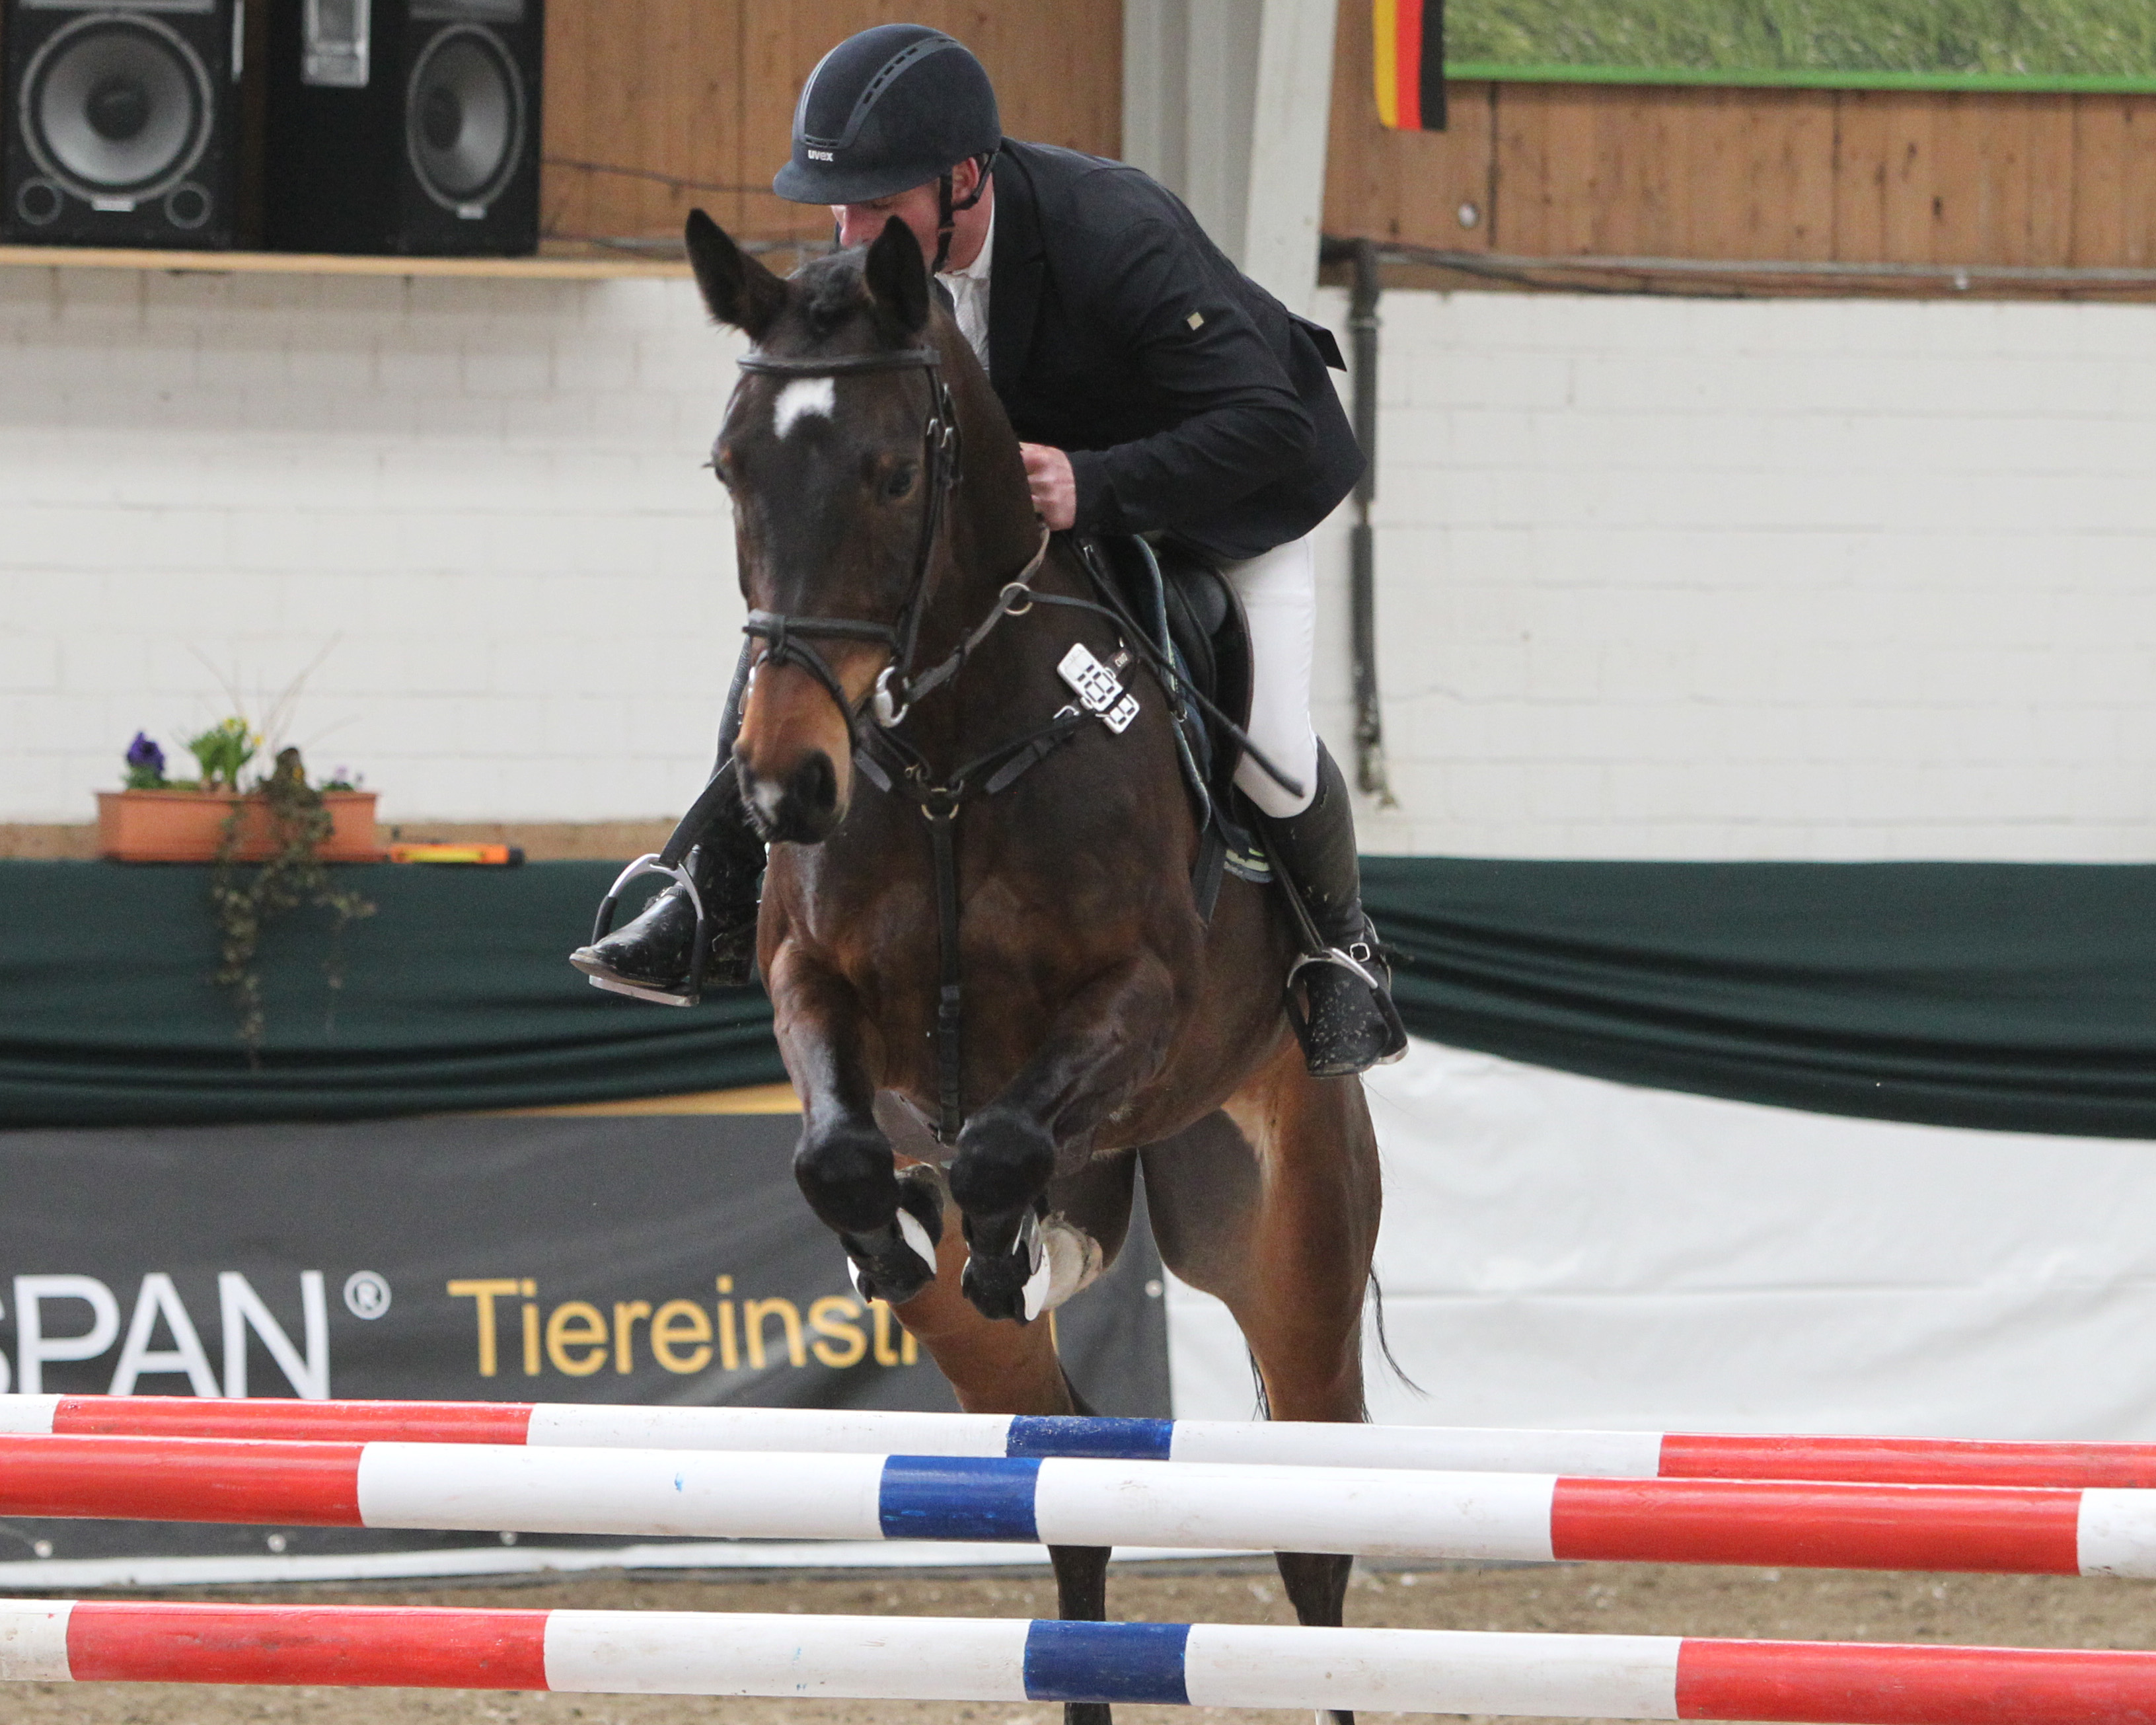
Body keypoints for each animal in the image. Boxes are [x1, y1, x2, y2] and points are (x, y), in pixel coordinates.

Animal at [690, 209, 1397, 1716]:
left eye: (894, 474)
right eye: (731, 469)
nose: (786, 788)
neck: (950, 750)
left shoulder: (1139, 1000)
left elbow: (1009, 1144)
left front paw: (1004, 1228)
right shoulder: (810, 984)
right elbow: (841, 1155)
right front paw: (896, 1231)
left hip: (1290, 1237)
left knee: (1311, 1528)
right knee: (1066, 1473)